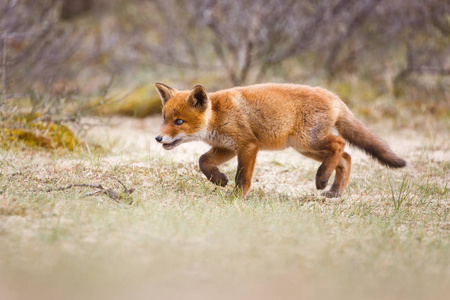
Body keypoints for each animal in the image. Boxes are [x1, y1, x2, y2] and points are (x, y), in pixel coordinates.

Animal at [155, 83, 408, 198]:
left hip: (308, 141)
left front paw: (237, 197)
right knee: (346, 157)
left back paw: (322, 179)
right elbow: (202, 161)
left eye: (179, 122)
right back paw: (334, 191)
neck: (217, 115)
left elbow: (242, 176)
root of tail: (334, 96)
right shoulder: (226, 147)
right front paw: (219, 180)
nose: (158, 138)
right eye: (164, 119)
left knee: (340, 144)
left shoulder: (248, 145)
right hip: (304, 147)